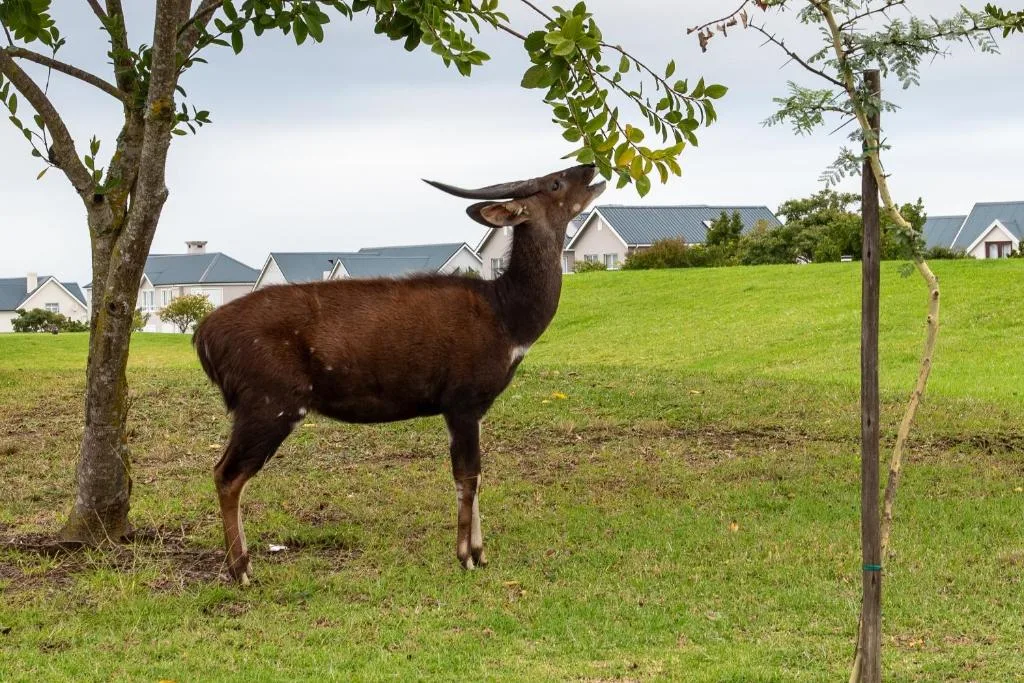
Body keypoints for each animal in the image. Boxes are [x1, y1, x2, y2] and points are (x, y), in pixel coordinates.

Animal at [194, 164, 606, 584]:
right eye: (555, 182)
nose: (591, 168)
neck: (508, 316)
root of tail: (204, 336)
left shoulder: (471, 408)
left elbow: (477, 473)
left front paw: (482, 553)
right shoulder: (461, 400)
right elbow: (467, 475)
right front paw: (466, 556)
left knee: (222, 469)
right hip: (271, 403)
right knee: (227, 474)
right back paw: (241, 571)